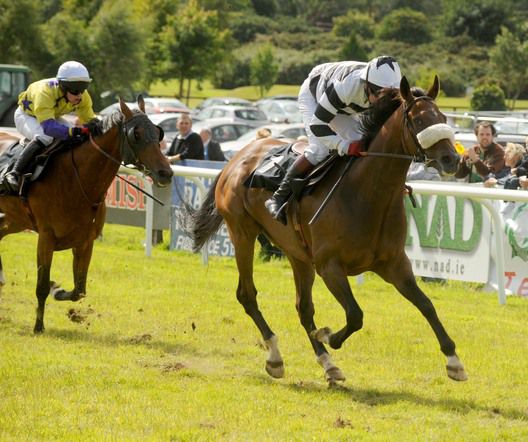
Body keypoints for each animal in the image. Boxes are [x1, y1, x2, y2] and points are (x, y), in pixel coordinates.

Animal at [0, 96, 172, 332]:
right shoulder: (46, 238)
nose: (166, 173)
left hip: (16, 218)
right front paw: (38, 326)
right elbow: (41, 286)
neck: (77, 180)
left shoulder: (85, 241)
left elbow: (79, 290)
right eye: (136, 134)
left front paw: (58, 289)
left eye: (158, 133)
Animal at [190, 77, 466, 386]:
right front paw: (329, 336)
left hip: (297, 253)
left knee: (303, 308)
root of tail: (236, 158)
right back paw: (275, 357)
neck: (368, 194)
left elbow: (426, 305)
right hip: (242, 233)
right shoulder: (330, 266)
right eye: (418, 120)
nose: (451, 159)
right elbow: (356, 315)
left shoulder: (394, 264)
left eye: (443, 118)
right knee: (247, 295)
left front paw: (454, 361)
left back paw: (328, 364)